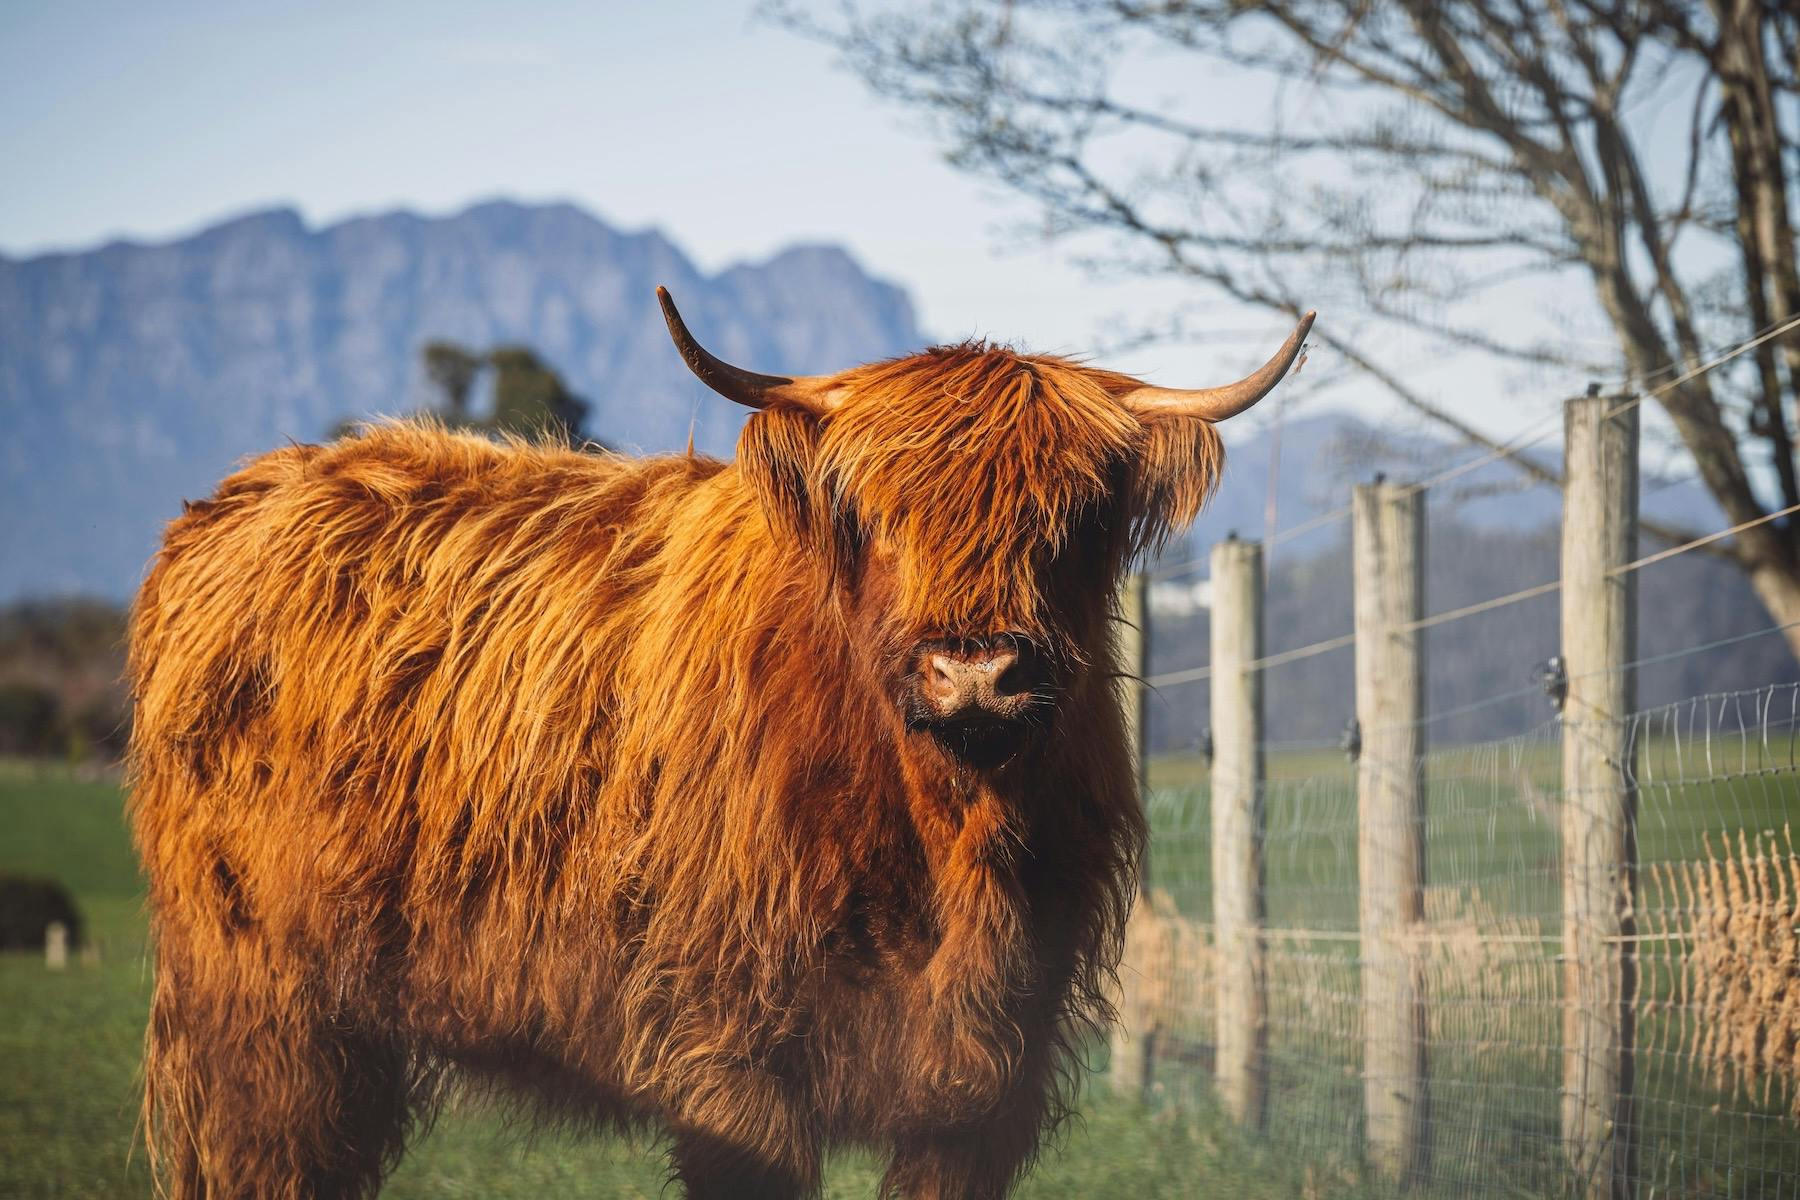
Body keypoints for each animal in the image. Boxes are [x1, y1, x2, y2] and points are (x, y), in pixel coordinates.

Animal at [126, 288, 1313, 1199]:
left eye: (1073, 521)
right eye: (873, 516)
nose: (975, 670)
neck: (947, 836)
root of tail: (250, 493)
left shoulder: (986, 1084)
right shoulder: (732, 1059)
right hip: (263, 1010)